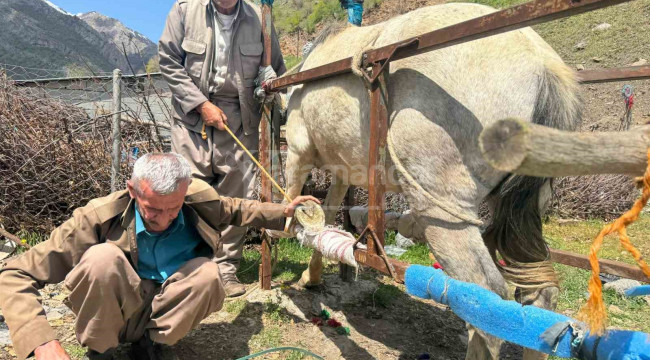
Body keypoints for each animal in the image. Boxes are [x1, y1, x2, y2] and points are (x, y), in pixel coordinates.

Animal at [280, 3, 580, 360]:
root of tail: (544, 65)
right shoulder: (342, 172)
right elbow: (324, 220)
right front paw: (311, 275)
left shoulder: (298, 151)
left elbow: (289, 206)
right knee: (541, 299)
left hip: (442, 210)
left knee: (487, 303)